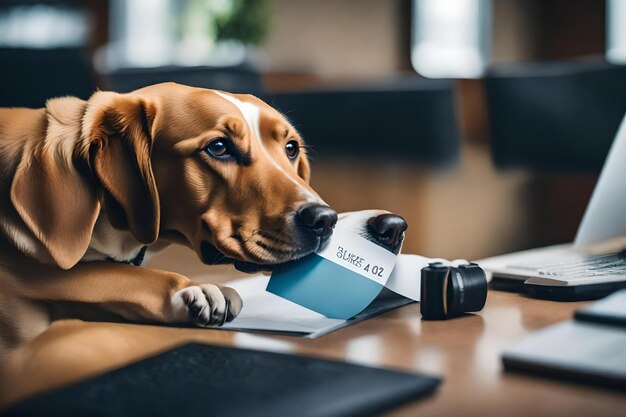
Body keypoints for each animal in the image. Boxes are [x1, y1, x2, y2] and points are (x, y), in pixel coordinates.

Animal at [1, 82, 342, 352]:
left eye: (291, 148)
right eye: (219, 147)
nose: (325, 220)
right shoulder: (29, 272)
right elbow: (102, 274)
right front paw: (193, 289)